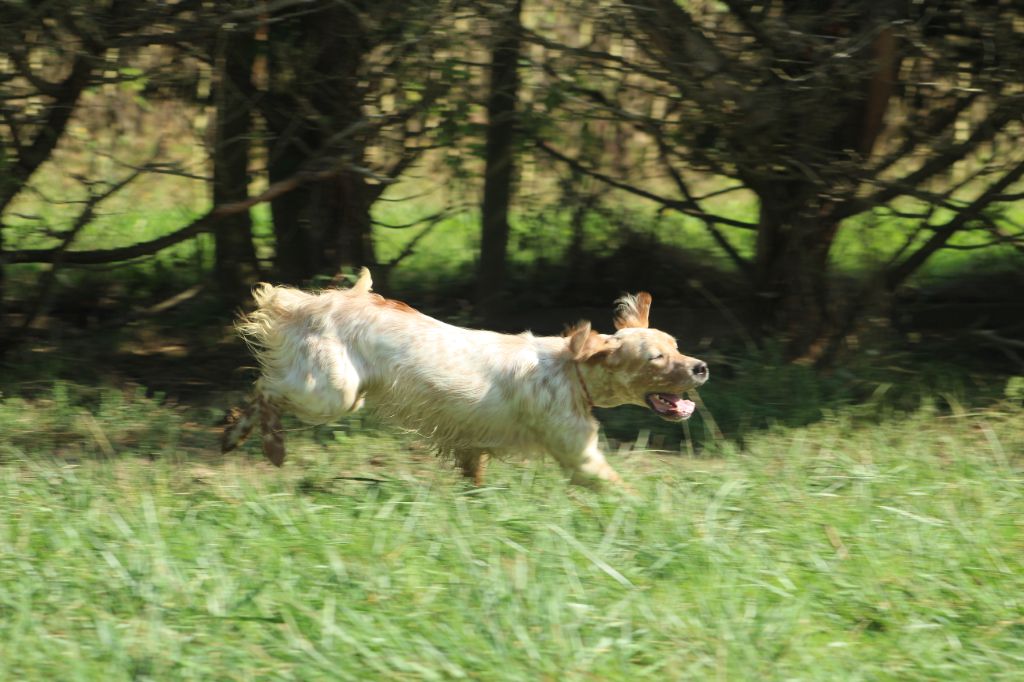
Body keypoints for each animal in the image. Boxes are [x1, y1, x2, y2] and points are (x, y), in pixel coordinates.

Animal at [221, 268, 708, 485]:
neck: (571, 371)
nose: (701, 367)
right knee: (265, 388)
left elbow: (474, 476)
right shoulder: (580, 456)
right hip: (331, 393)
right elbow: (618, 489)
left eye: (677, 345)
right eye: (655, 358)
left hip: (342, 393)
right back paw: (260, 441)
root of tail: (318, 302)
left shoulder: (473, 445)